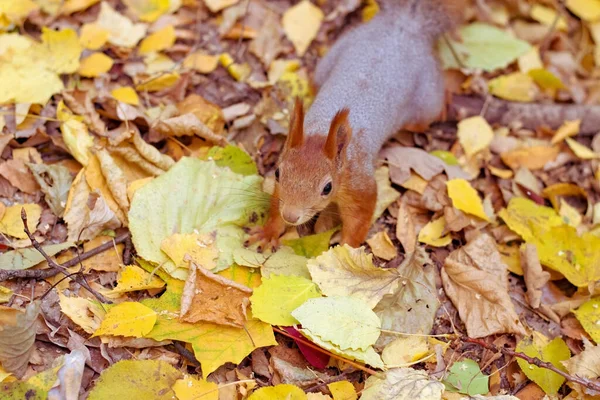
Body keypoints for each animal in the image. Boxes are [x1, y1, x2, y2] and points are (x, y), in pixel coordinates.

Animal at [255, 0, 462, 248]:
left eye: (327, 187)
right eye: (277, 173)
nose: (291, 216)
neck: (321, 132)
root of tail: (404, 24)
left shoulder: (359, 184)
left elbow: (359, 218)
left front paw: (345, 248)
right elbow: (276, 203)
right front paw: (268, 231)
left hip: (425, 103)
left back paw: (448, 102)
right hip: (333, 56)